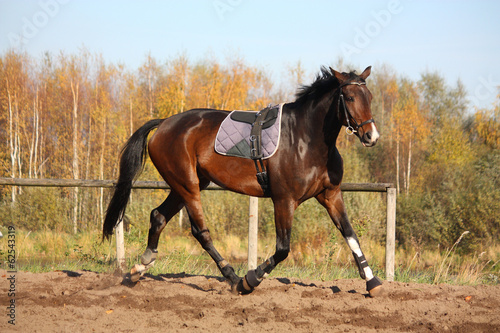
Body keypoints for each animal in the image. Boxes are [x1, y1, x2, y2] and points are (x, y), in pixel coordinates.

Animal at [102, 65, 382, 296]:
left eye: (369, 97)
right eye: (349, 98)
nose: (372, 136)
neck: (308, 139)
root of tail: (164, 123)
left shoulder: (331, 195)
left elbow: (350, 234)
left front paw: (372, 281)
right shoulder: (284, 200)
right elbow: (283, 249)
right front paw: (250, 280)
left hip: (186, 184)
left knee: (158, 216)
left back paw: (138, 270)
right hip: (187, 185)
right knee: (200, 231)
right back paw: (232, 277)